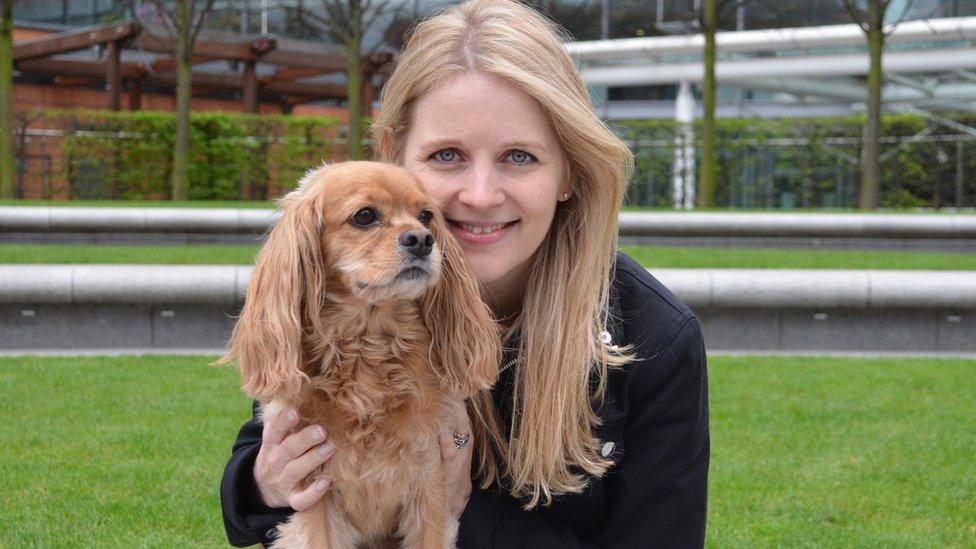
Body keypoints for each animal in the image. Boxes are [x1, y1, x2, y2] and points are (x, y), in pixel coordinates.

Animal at [218, 161, 500, 544]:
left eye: (426, 216)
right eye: (365, 216)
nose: (422, 239)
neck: (369, 349)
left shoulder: (430, 487)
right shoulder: (314, 494)